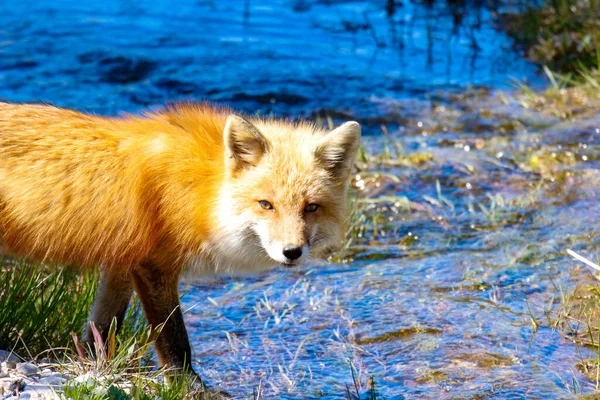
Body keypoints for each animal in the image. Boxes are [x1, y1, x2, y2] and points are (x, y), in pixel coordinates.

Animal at [0, 103, 360, 388]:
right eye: (266, 204)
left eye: (311, 207)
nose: (292, 252)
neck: (202, 193)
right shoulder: (153, 266)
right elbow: (174, 339)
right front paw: (189, 386)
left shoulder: (121, 262)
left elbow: (101, 328)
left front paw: (95, 370)